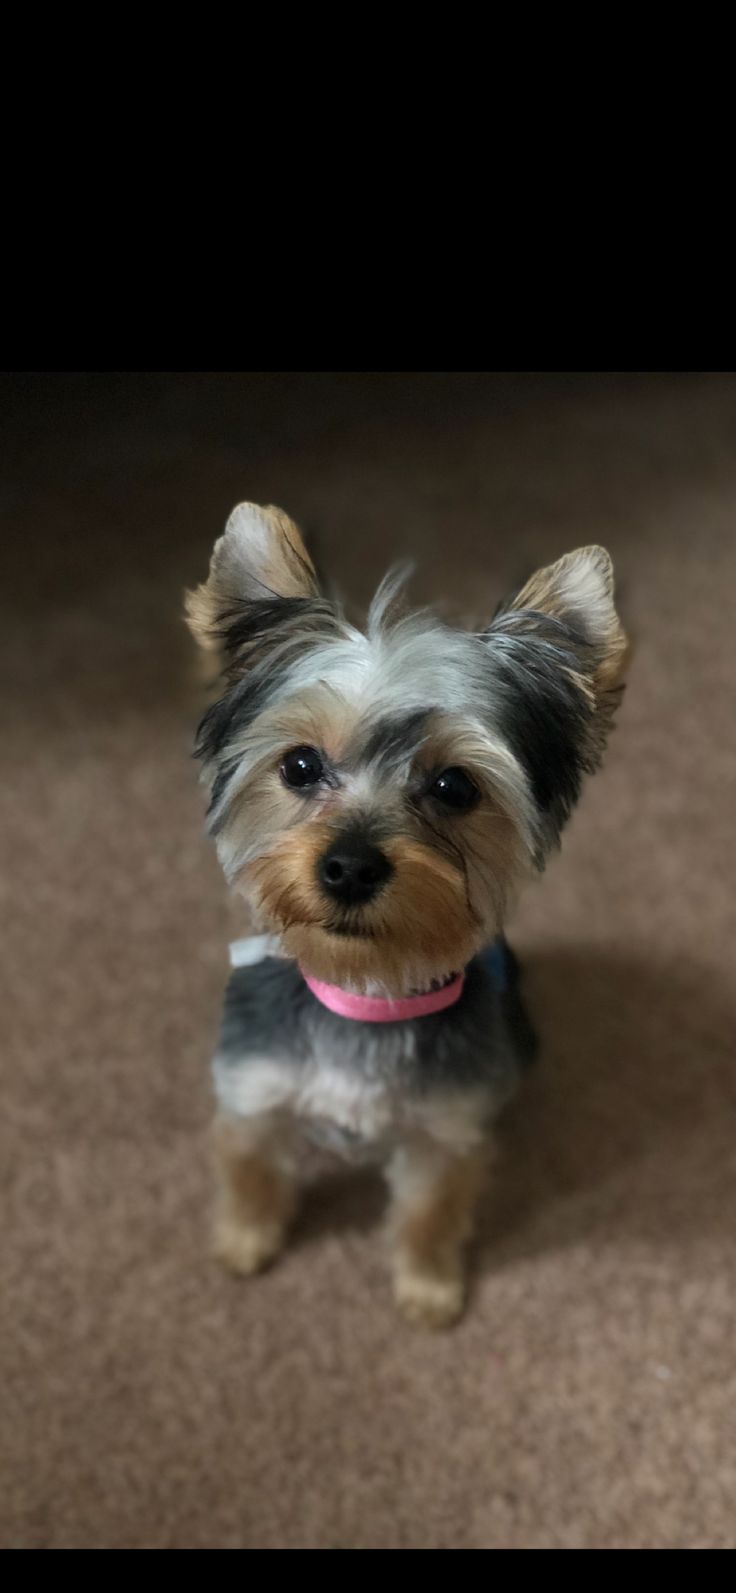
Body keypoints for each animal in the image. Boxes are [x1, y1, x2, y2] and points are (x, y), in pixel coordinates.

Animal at [185, 503, 627, 1325]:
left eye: (455, 786)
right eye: (299, 765)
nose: (351, 866)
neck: (364, 987)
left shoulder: (445, 1131)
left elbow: (428, 1212)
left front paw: (428, 1288)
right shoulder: (253, 1091)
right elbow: (252, 1169)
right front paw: (245, 1241)